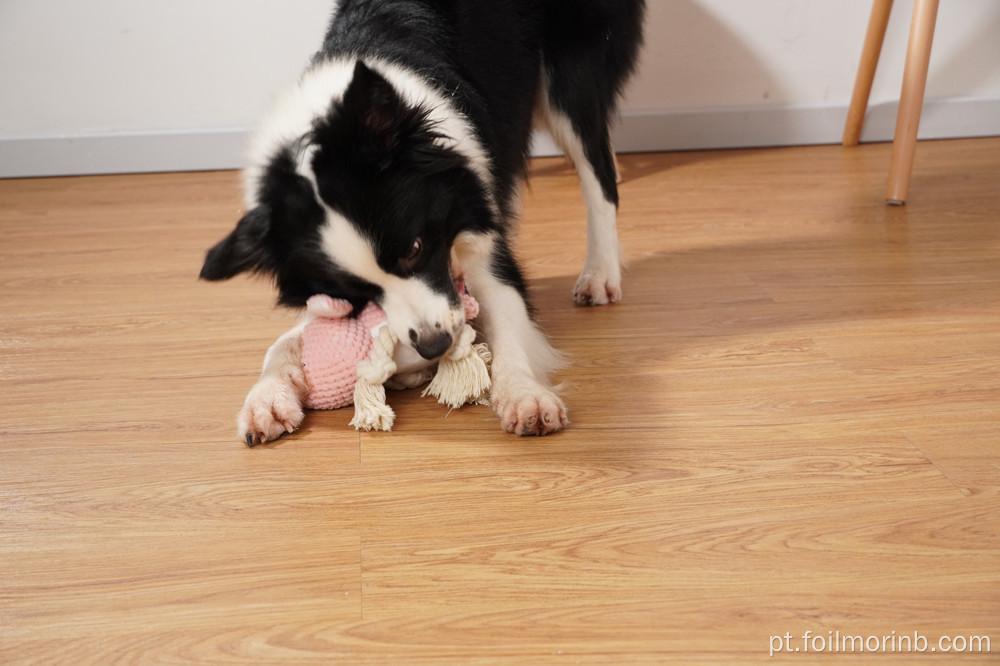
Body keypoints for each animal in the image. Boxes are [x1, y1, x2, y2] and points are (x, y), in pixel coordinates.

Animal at [201, 1, 648, 446]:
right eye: (356, 293)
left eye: (414, 248)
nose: (435, 346)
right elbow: (286, 341)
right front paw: (266, 399)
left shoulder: (480, 234)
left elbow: (508, 317)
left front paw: (525, 396)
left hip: (571, 75)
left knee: (599, 171)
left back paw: (600, 273)